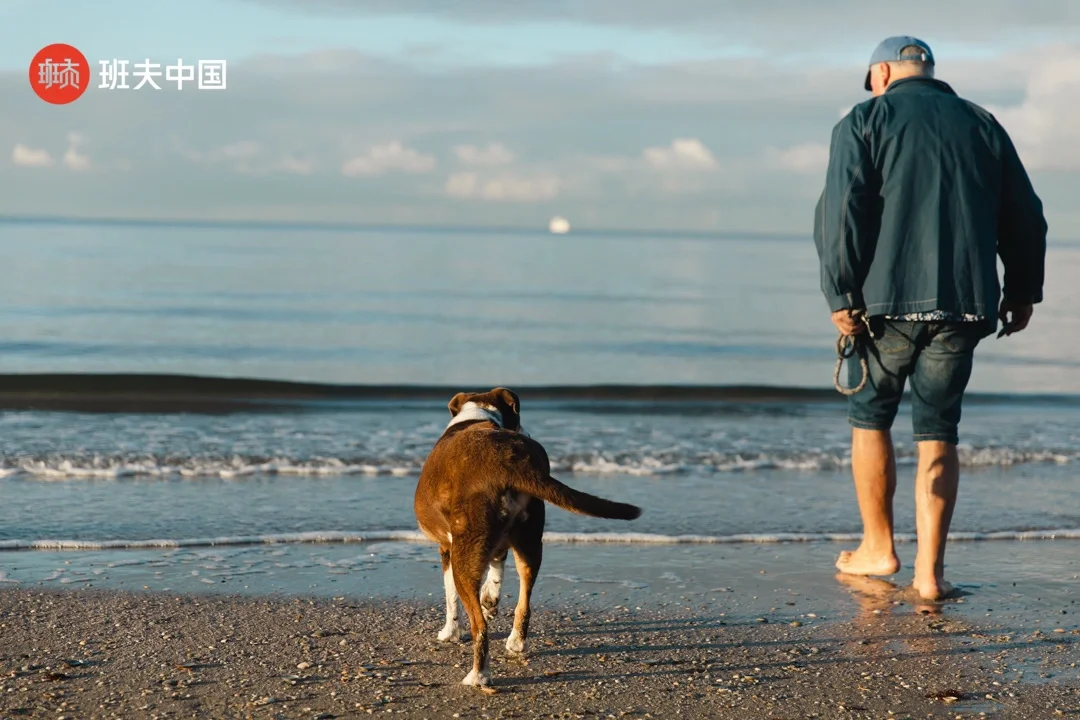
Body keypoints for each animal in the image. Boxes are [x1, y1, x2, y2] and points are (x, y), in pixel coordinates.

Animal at [412, 390, 639, 690]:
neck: (479, 415)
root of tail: (505, 465)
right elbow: (496, 569)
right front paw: (490, 598)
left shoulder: (446, 548)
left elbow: (451, 599)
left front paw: (450, 631)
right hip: (530, 541)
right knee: (525, 599)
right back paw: (516, 641)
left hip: (465, 551)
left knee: (479, 625)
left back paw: (478, 675)